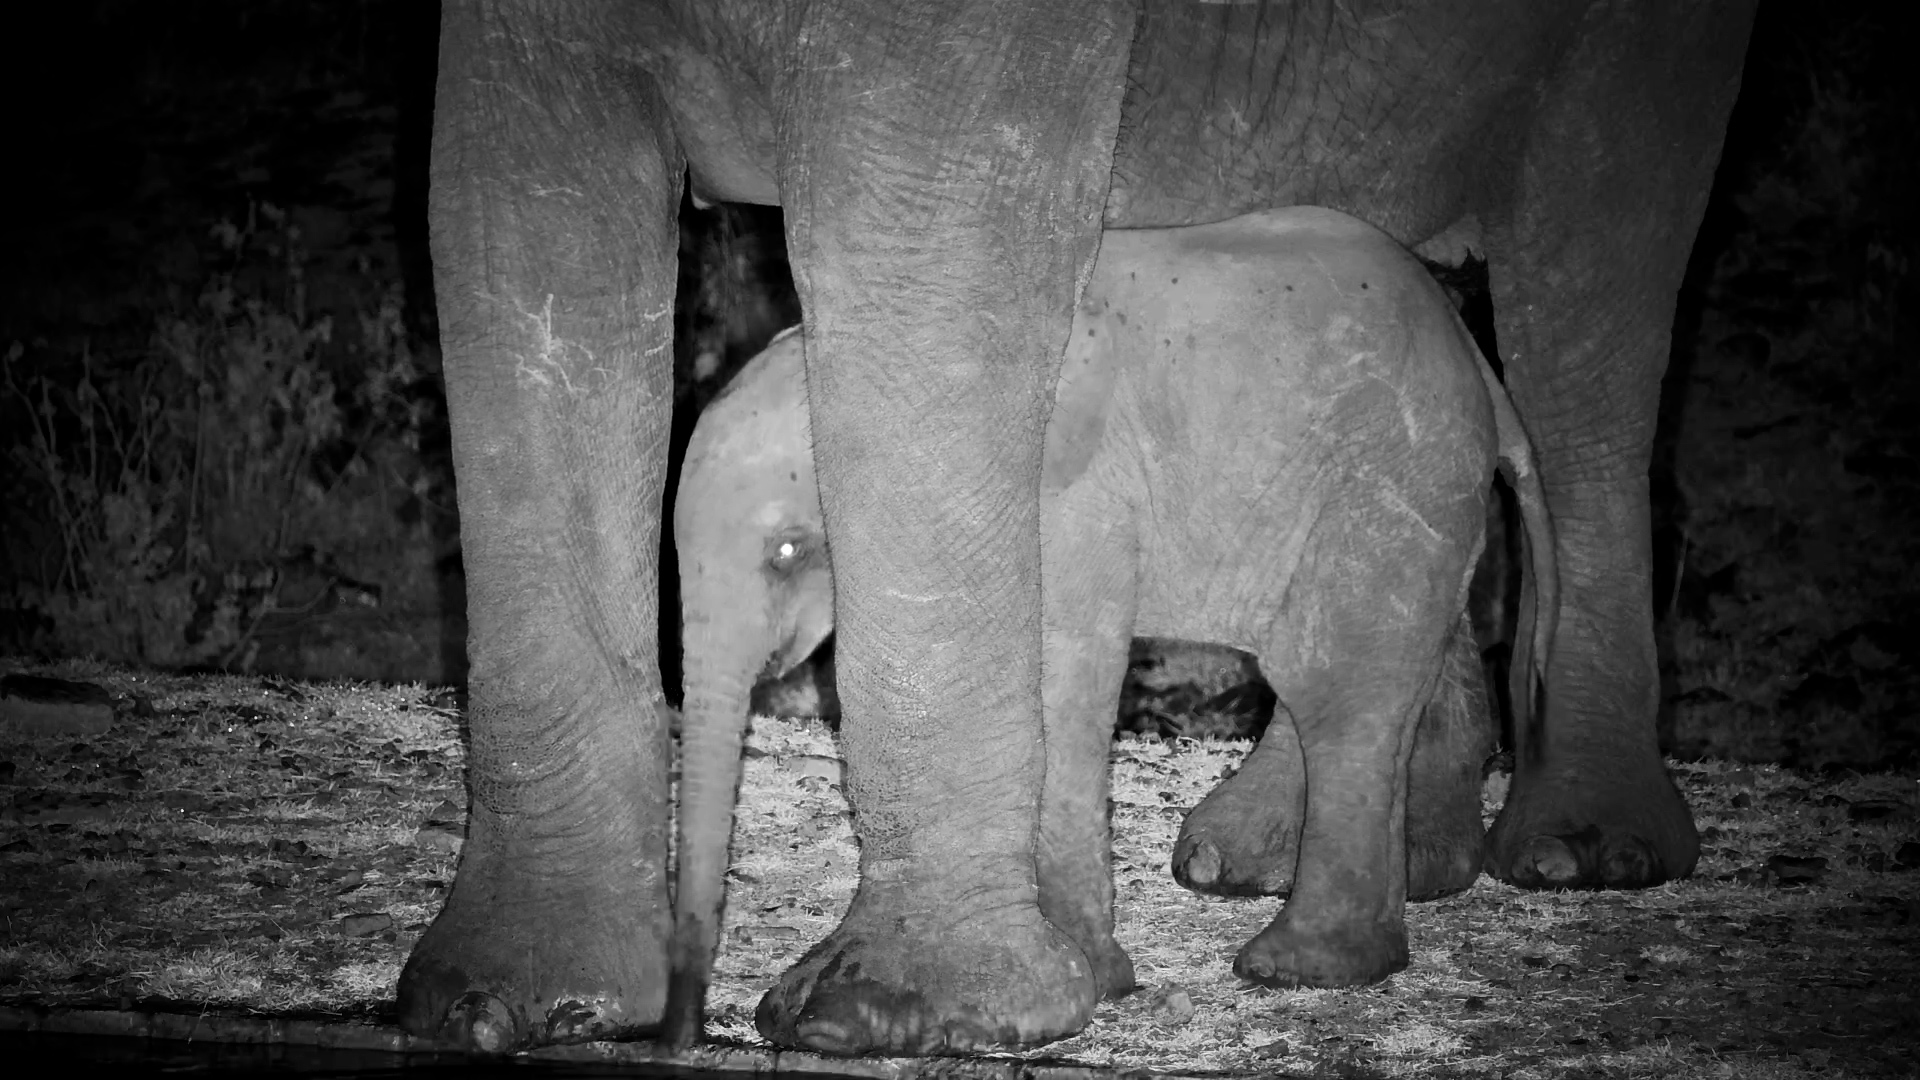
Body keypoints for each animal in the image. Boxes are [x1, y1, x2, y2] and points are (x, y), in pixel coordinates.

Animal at [665, 207, 1559, 1047]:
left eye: (787, 551)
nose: (685, 1033)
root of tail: (1482, 368)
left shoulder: (1075, 503)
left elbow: (1061, 685)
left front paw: (1093, 981)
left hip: (1396, 479)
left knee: (1338, 694)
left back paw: (1296, 969)